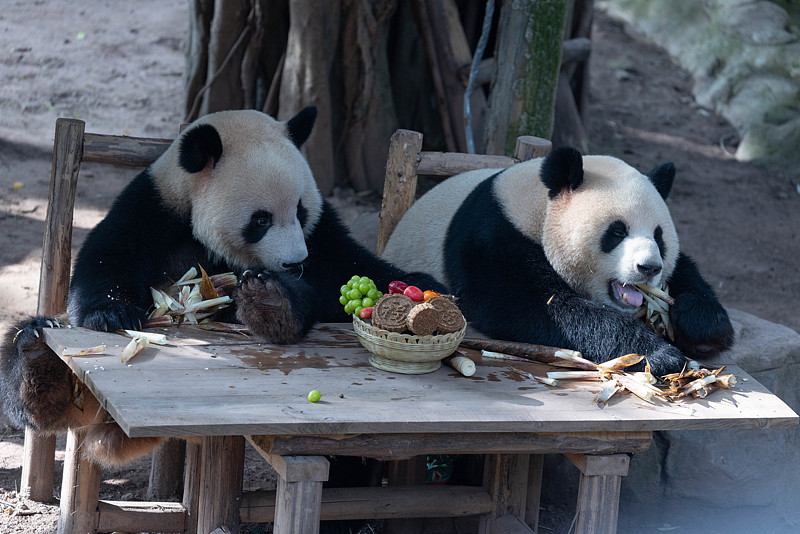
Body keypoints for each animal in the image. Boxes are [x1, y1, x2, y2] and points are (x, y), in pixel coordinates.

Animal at [0, 106, 444, 466]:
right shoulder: (156, 208)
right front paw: (112, 312)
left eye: (300, 211)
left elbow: (342, 268)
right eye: (261, 219)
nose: (294, 262)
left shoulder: (321, 235)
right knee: (23, 369)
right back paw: (38, 363)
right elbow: (108, 256)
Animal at [382, 146, 734, 376]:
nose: (649, 268)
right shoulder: (492, 239)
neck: (537, 206)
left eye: (659, 236)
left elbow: (687, 273)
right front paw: (660, 355)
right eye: (617, 231)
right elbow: (542, 308)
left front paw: (701, 327)